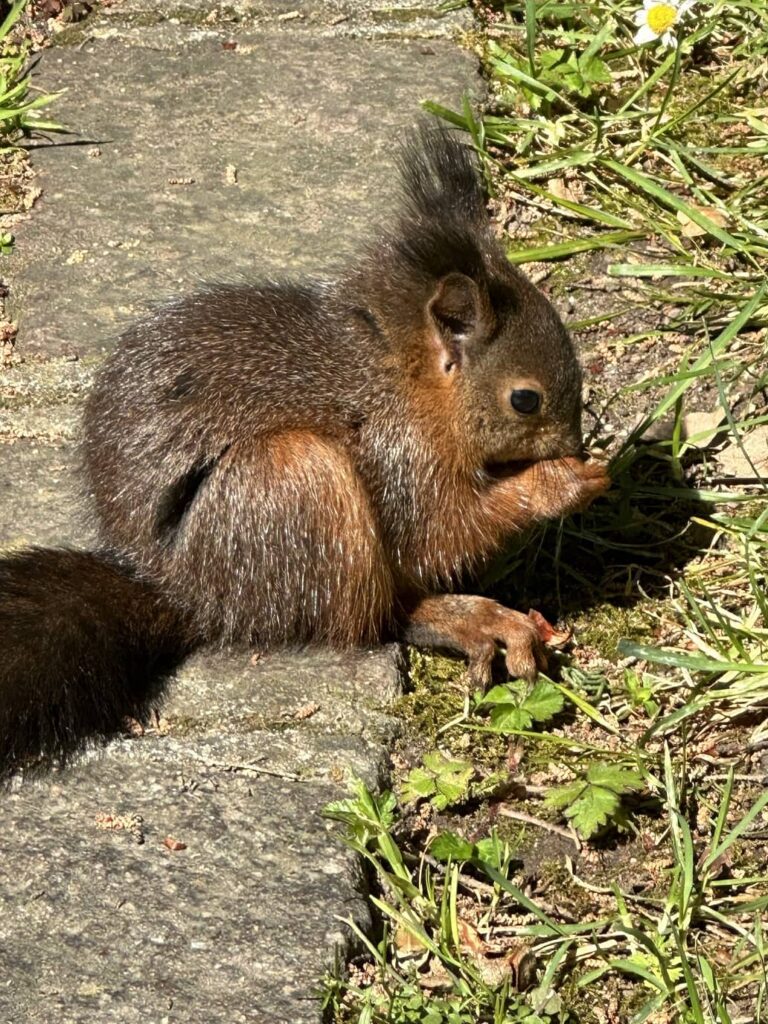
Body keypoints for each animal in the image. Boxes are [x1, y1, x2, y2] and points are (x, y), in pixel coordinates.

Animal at [0, 123, 609, 780]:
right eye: (525, 400)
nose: (574, 445)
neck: (404, 380)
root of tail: (185, 595)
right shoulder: (400, 457)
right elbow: (442, 531)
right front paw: (560, 482)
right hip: (294, 484)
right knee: (372, 617)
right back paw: (465, 618)